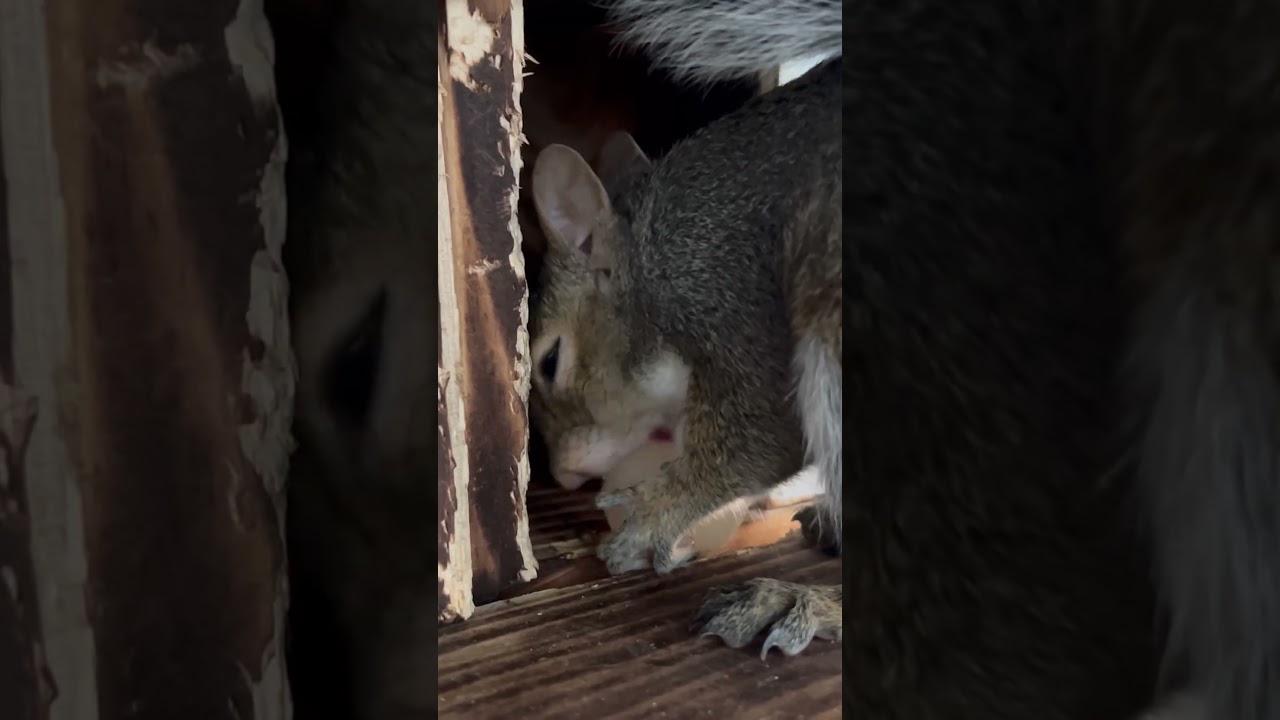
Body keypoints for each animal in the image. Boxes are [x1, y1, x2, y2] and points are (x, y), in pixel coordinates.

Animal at [526, 0, 1184, 717]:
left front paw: (650, 518)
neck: (653, 252)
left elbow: (761, 438)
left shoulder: (726, 289)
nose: (562, 475)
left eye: (550, 361)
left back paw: (809, 602)